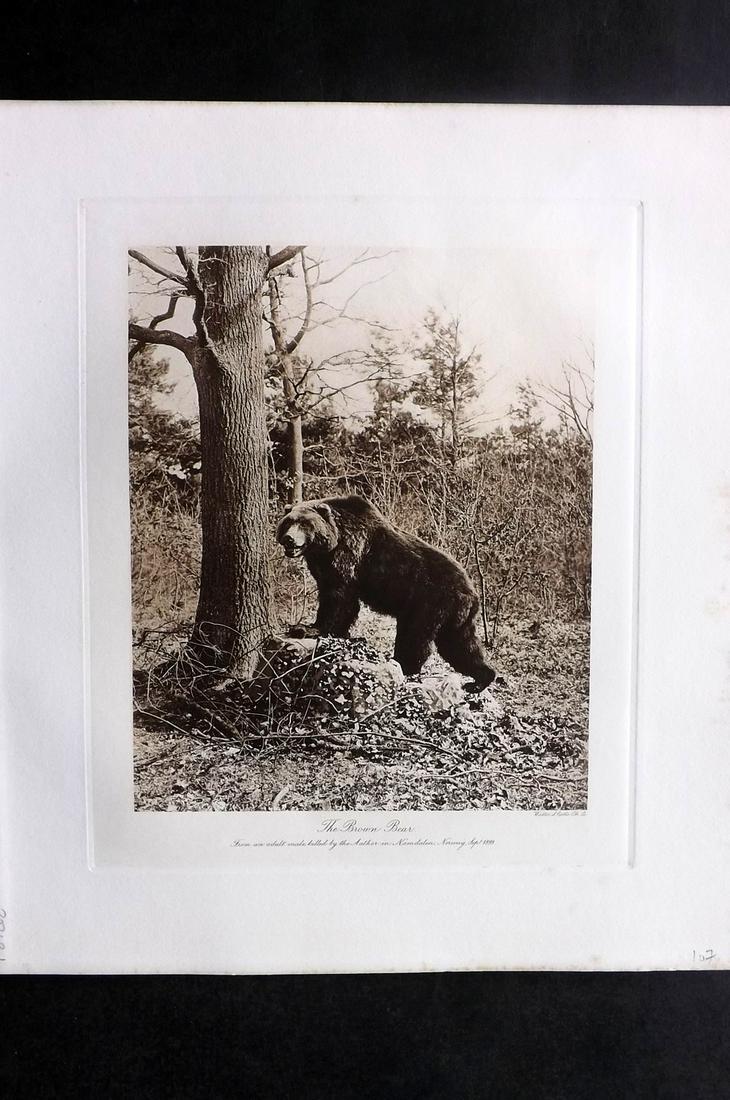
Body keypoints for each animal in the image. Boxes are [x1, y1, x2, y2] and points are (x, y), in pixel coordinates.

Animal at [276, 495, 496, 689]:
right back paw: (480, 679)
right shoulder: (323, 565)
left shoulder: (348, 556)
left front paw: (308, 628)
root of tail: (473, 594)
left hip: (430, 601)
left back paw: (403, 665)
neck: (328, 546)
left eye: (305, 524)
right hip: (454, 616)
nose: (289, 539)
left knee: (415, 635)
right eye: (287, 522)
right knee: (459, 645)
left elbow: (339, 599)